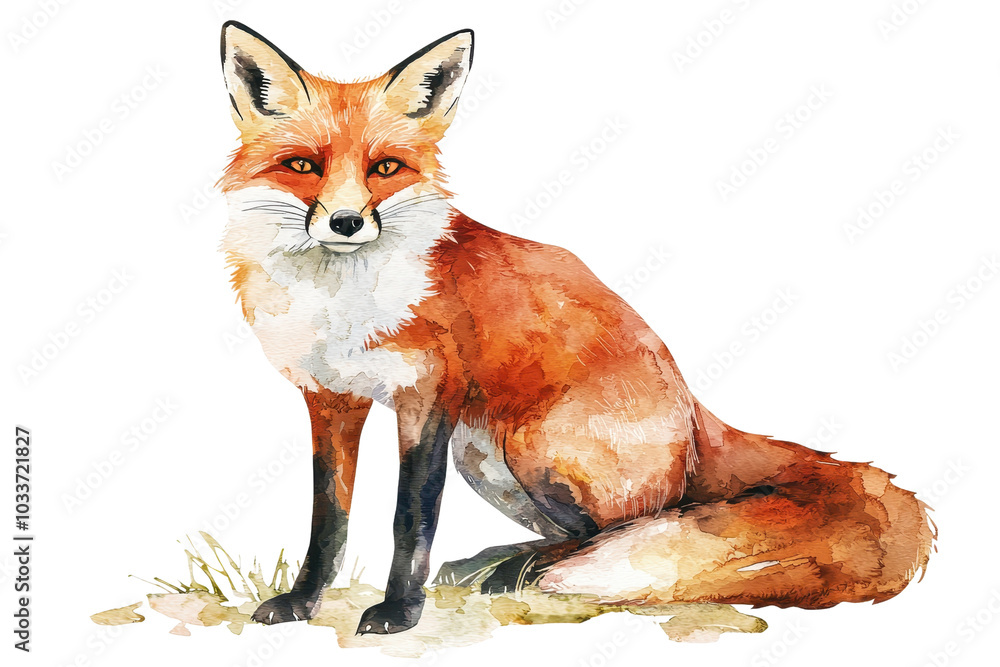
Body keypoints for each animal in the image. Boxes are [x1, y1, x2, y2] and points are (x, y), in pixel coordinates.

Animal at [218, 22, 934, 635]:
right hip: (483, 456)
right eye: (304, 166)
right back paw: (494, 561)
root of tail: (695, 411)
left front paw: (398, 611)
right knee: (583, 532)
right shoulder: (330, 399)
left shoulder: (429, 397)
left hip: (529, 444)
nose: (345, 222)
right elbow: (328, 518)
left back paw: (519, 569)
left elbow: (410, 517)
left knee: (622, 528)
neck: (339, 302)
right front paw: (301, 601)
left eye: (385, 168)